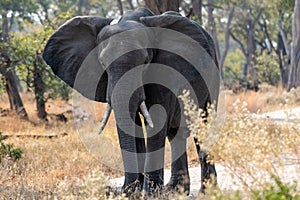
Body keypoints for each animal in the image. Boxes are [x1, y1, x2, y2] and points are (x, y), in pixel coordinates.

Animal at [42, 6, 220, 197]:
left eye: (145, 61)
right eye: (102, 63)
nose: (120, 190)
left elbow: (158, 119)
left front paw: (149, 194)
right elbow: (133, 121)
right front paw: (134, 192)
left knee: (204, 125)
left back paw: (206, 192)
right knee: (175, 133)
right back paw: (174, 190)